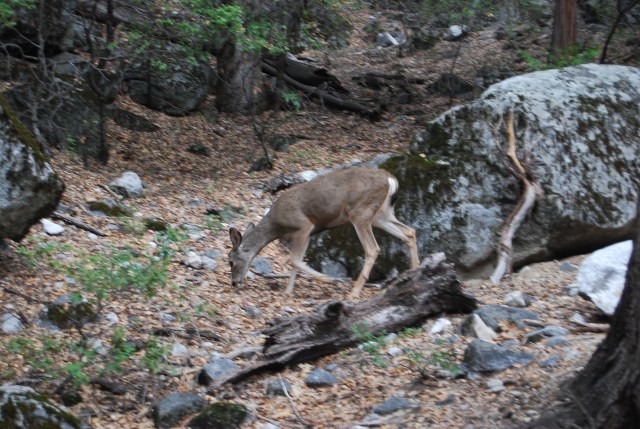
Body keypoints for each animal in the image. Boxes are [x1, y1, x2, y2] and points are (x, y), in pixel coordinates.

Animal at [228, 166, 420, 299]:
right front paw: (288, 292)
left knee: (373, 249)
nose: (234, 282)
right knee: (409, 232)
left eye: (230, 261)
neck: (277, 226)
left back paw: (353, 293)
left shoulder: (303, 226)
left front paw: (332, 280)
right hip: (381, 214)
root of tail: (391, 180)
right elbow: (295, 262)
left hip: (361, 212)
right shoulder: (304, 234)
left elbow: (294, 260)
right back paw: (414, 271)